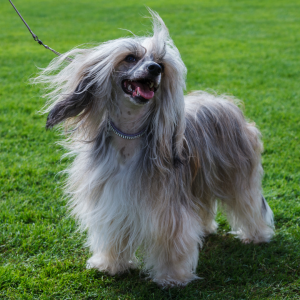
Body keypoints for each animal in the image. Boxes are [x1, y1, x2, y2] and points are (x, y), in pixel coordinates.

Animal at [32, 8, 274, 286]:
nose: (155, 68)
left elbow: (172, 238)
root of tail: (226, 102)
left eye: (161, 63)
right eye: (130, 57)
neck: (128, 138)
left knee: (248, 204)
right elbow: (113, 234)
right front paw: (111, 264)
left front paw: (172, 277)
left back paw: (256, 235)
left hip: (237, 177)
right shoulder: (112, 200)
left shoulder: (167, 208)